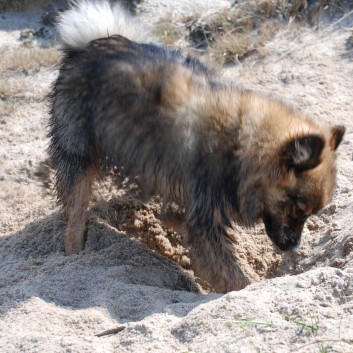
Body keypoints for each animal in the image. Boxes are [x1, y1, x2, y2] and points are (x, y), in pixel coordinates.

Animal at [48, 0, 344, 292]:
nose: (293, 247)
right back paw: (75, 255)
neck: (241, 143)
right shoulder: (206, 217)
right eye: (297, 209)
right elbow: (231, 276)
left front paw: (171, 219)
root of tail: (88, 44)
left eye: (308, 214)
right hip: (79, 155)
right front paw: (245, 288)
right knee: (74, 213)